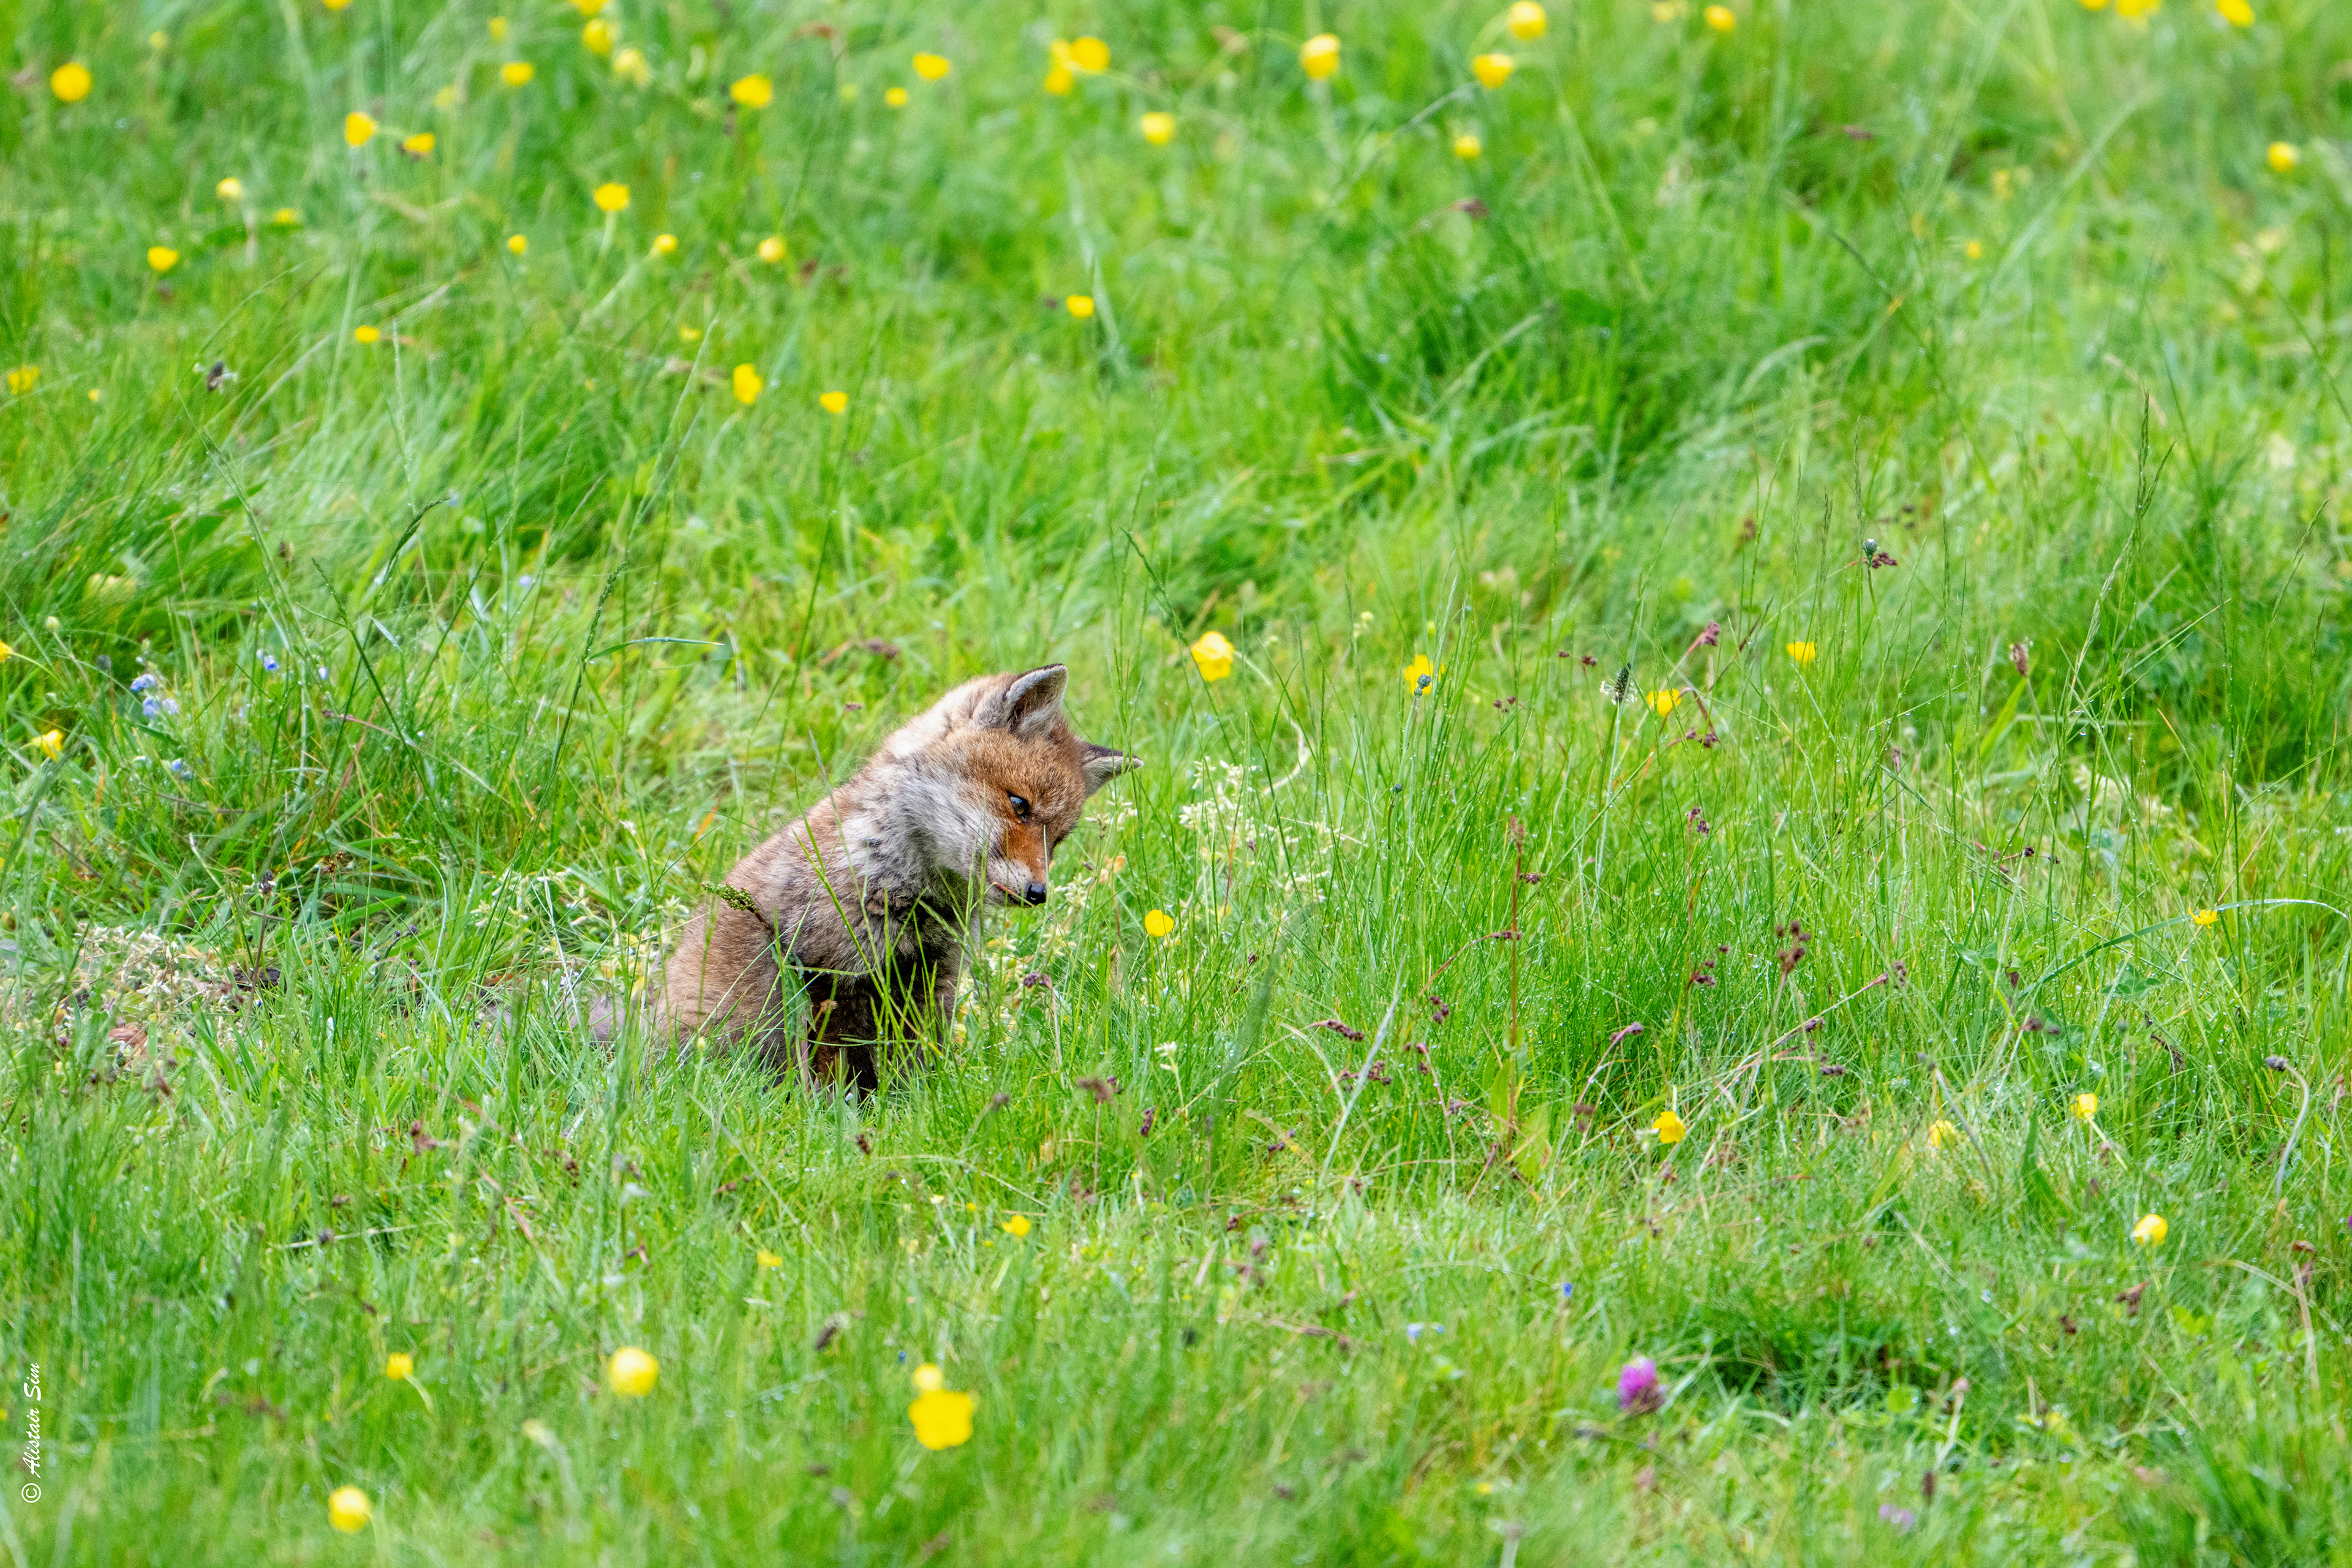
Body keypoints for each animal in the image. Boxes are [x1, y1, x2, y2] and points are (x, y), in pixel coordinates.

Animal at [656, 663, 1136, 1091]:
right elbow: (835, 1074)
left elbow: (914, 1073)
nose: (1038, 893)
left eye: (1057, 840)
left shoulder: (930, 982)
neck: (911, 898)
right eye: (1020, 805)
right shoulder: (828, 975)